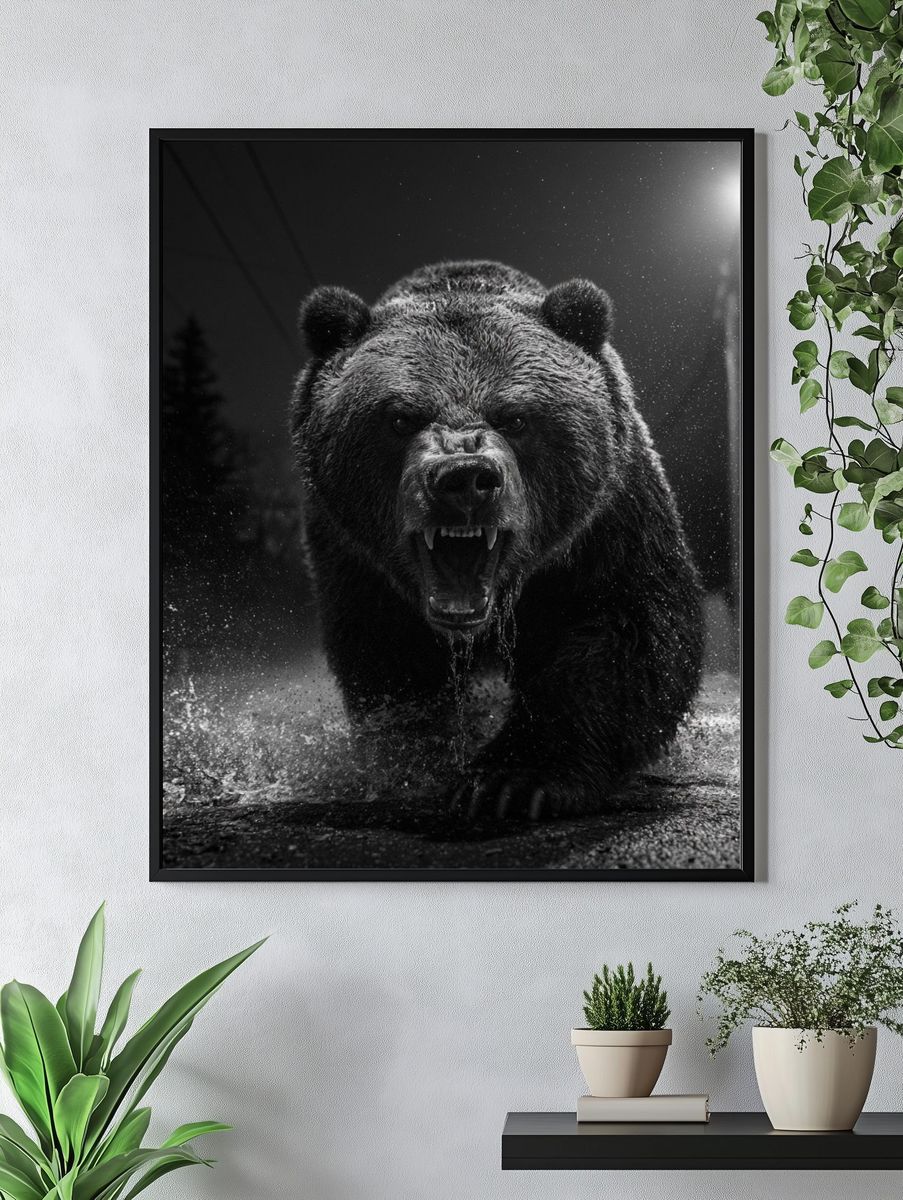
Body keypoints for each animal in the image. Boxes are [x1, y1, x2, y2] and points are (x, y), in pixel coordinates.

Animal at [290, 260, 703, 822]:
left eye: (516, 417)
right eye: (400, 418)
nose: (464, 478)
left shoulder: (608, 520)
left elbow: (626, 630)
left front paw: (509, 780)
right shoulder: (352, 556)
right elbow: (388, 661)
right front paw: (417, 765)